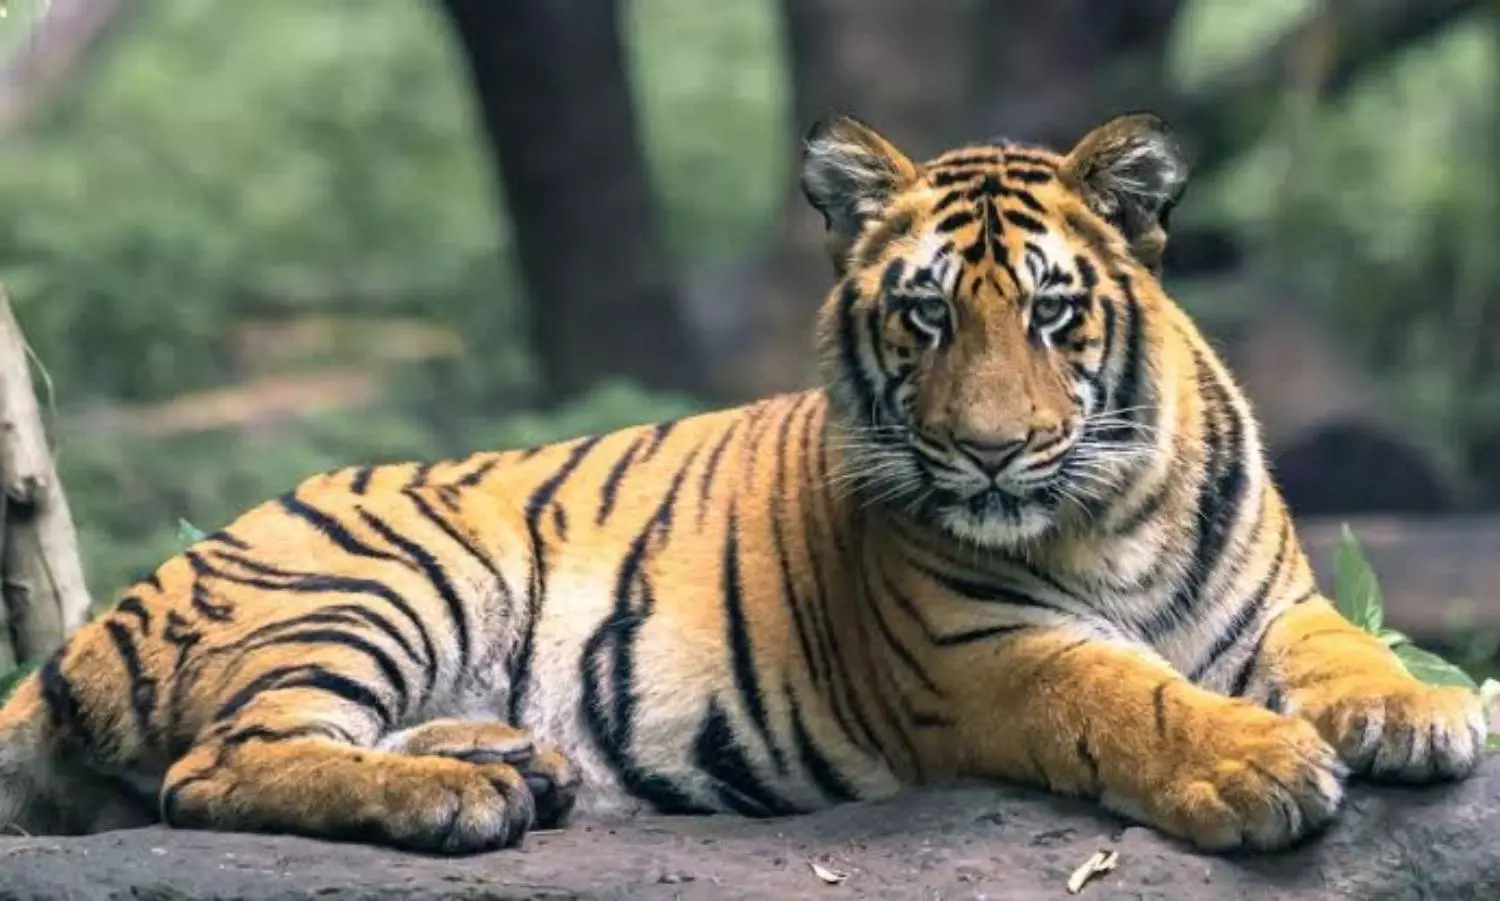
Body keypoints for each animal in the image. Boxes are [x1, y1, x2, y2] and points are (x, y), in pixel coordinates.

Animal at [0, 112, 1485, 856]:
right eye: (927, 317)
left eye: (1053, 313)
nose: (993, 450)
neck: (1105, 516)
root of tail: (103, 617)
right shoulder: (982, 653)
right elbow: (1125, 696)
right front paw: (1257, 765)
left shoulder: (1277, 603)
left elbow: (1350, 645)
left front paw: (1424, 713)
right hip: (381, 577)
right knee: (219, 765)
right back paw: (454, 797)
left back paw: (508, 757)